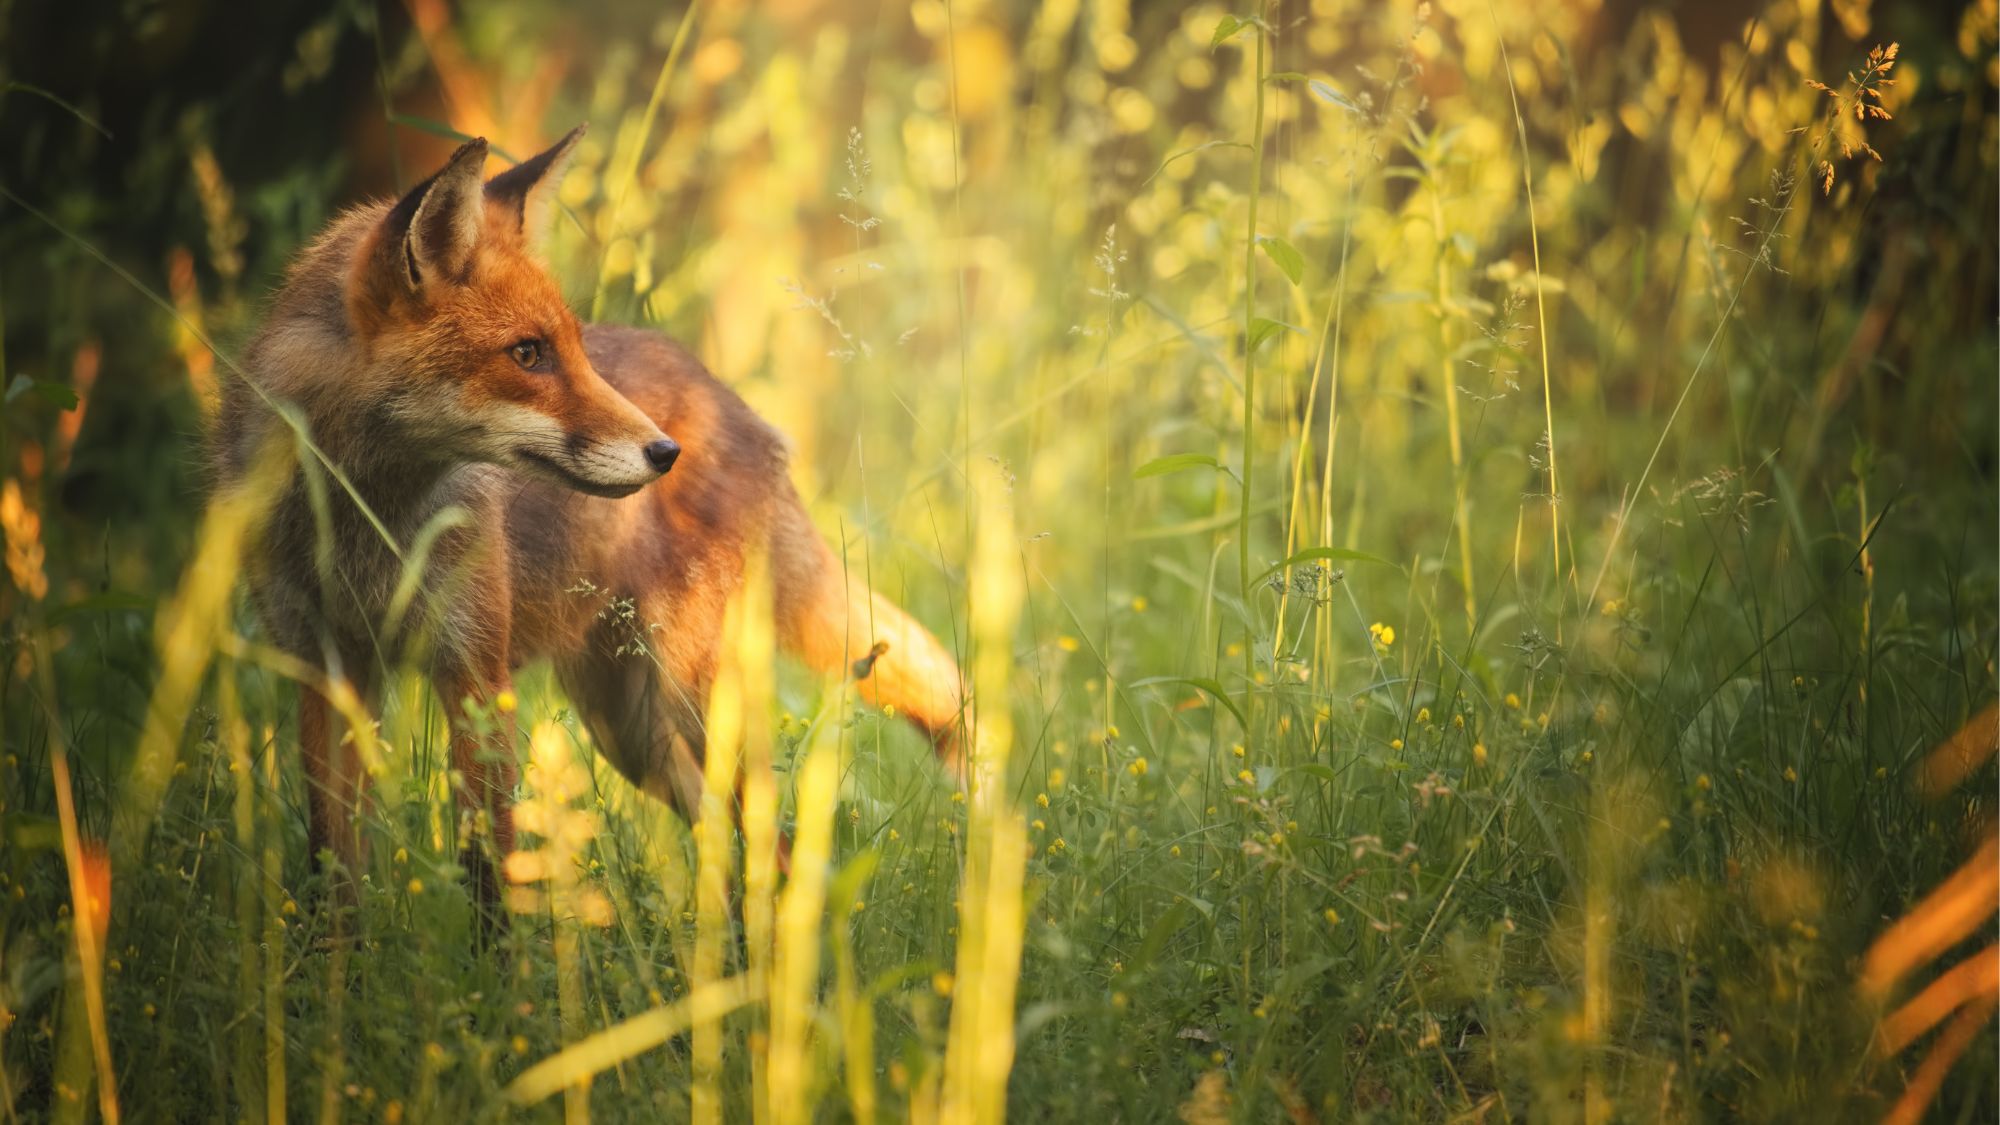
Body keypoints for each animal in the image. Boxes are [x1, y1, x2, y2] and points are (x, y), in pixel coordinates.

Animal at [215, 127, 964, 904]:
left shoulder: (477, 674)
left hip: (691, 708)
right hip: (634, 733)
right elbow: (333, 874)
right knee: (732, 851)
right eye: (527, 353)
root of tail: (733, 404)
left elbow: (492, 877)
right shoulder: (322, 669)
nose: (665, 451)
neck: (364, 521)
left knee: (773, 846)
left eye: (572, 348)